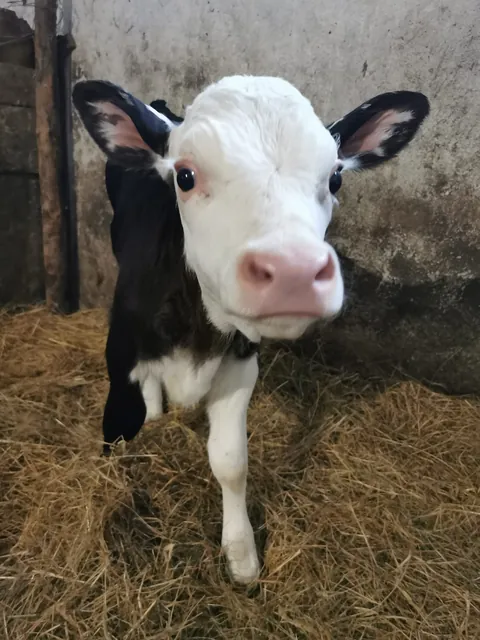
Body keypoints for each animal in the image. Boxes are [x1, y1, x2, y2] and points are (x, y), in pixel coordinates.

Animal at [72, 75, 429, 583]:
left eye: (335, 177)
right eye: (185, 176)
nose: (293, 270)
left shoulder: (242, 361)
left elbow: (231, 461)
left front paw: (241, 556)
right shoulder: (120, 361)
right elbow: (115, 435)